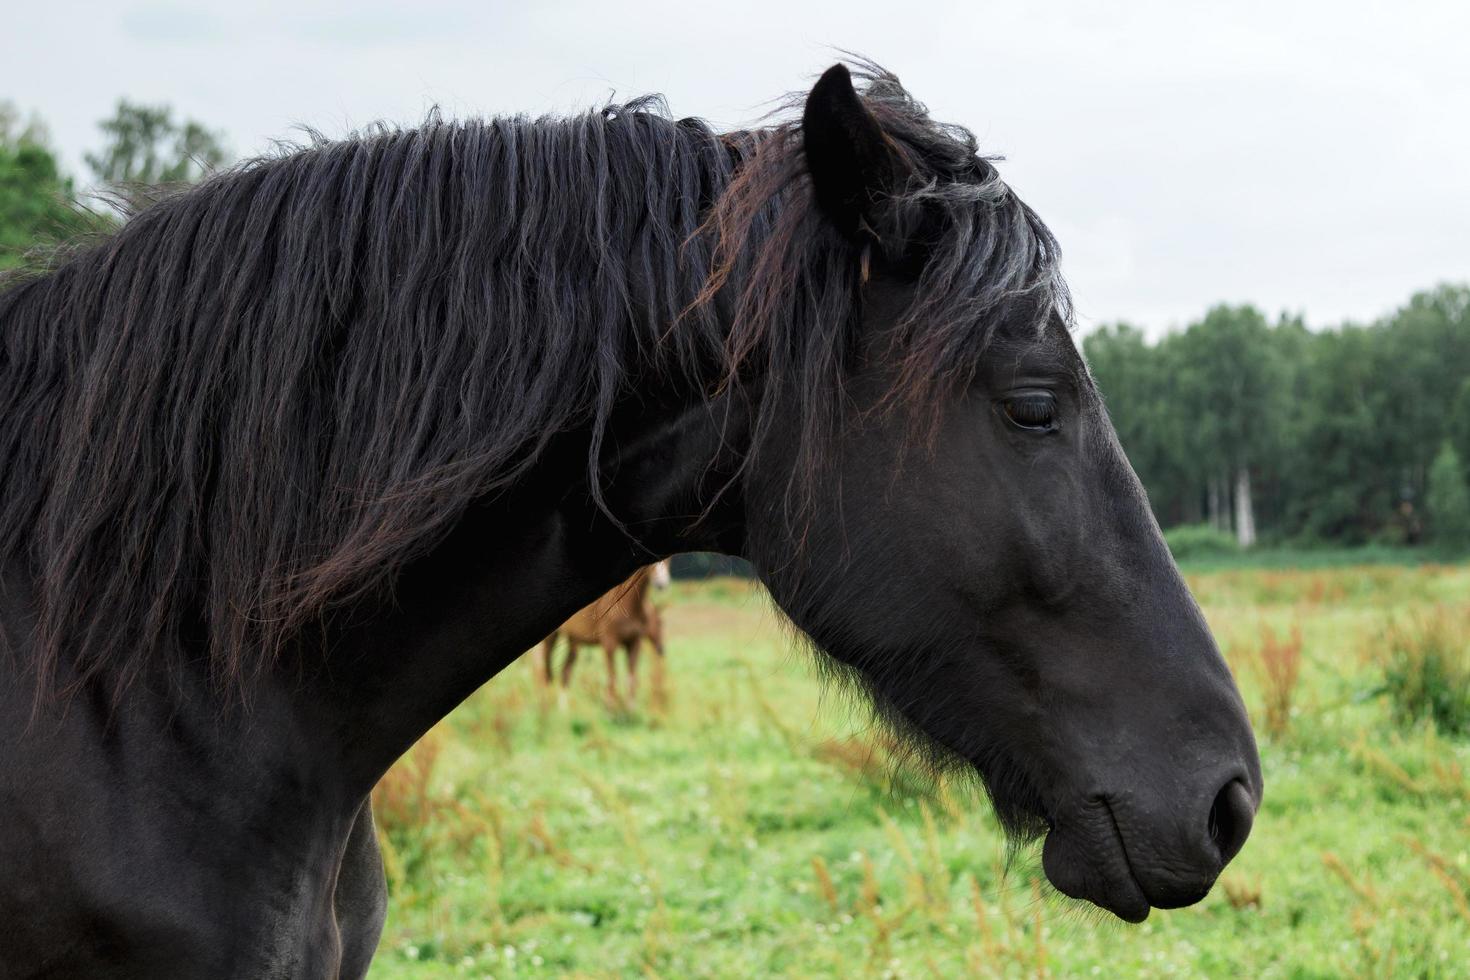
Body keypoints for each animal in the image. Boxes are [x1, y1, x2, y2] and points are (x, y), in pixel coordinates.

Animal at [538, 558, 670, 705]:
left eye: (669, 561)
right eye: (659, 623)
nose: (661, 584)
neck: (628, 606)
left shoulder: (634, 643)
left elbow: (631, 679)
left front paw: (630, 708)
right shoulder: (609, 643)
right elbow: (612, 677)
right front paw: (610, 706)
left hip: (574, 640)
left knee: (565, 672)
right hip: (552, 638)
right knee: (546, 671)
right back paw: (545, 707)